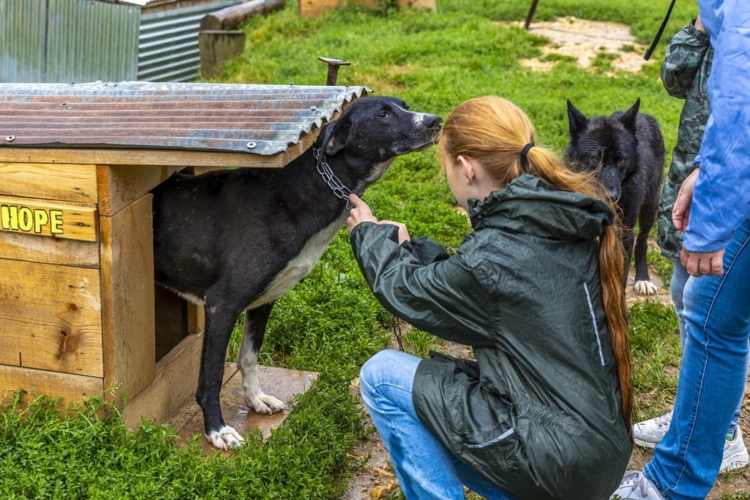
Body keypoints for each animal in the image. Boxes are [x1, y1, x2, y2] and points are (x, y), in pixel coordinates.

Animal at [154, 96, 446, 450]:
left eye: (402, 105)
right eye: (383, 113)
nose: (435, 121)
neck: (308, 188)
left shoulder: (263, 302)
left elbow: (248, 356)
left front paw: (255, 399)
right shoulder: (221, 304)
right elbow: (211, 377)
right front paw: (217, 430)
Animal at [568, 97, 668, 292]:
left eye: (621, 160)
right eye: (595, 158)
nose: (613, 196)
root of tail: (643, 115)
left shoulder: (624, 237)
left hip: (650, 209)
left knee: (642, 242)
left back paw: (643, 279)